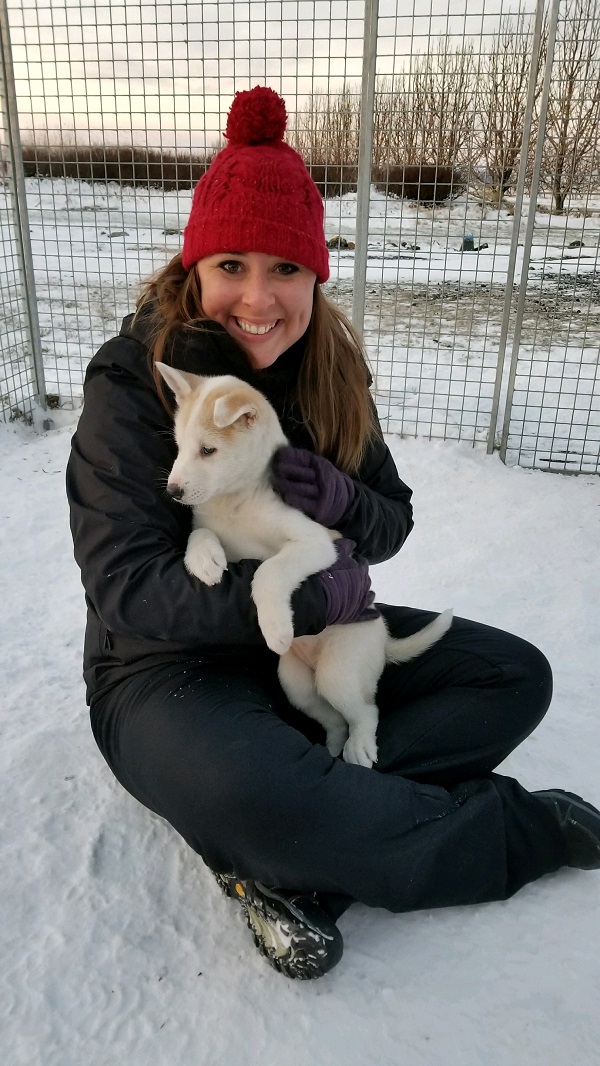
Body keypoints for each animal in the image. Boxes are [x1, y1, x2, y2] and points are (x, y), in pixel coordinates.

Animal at [157, 364, 453, 767]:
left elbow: (268, 572)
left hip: (339, 671)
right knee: (334, 721)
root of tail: (383, 639)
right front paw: (204, 561)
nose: (173, 492)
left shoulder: (316, 545)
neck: (236, 501)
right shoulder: (210, 526)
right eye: (179, 446)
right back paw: (331, 748)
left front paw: (276, 628)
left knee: (365, 711)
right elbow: (199, 535)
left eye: (208, 450)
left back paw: (360, 747)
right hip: (296, 684)